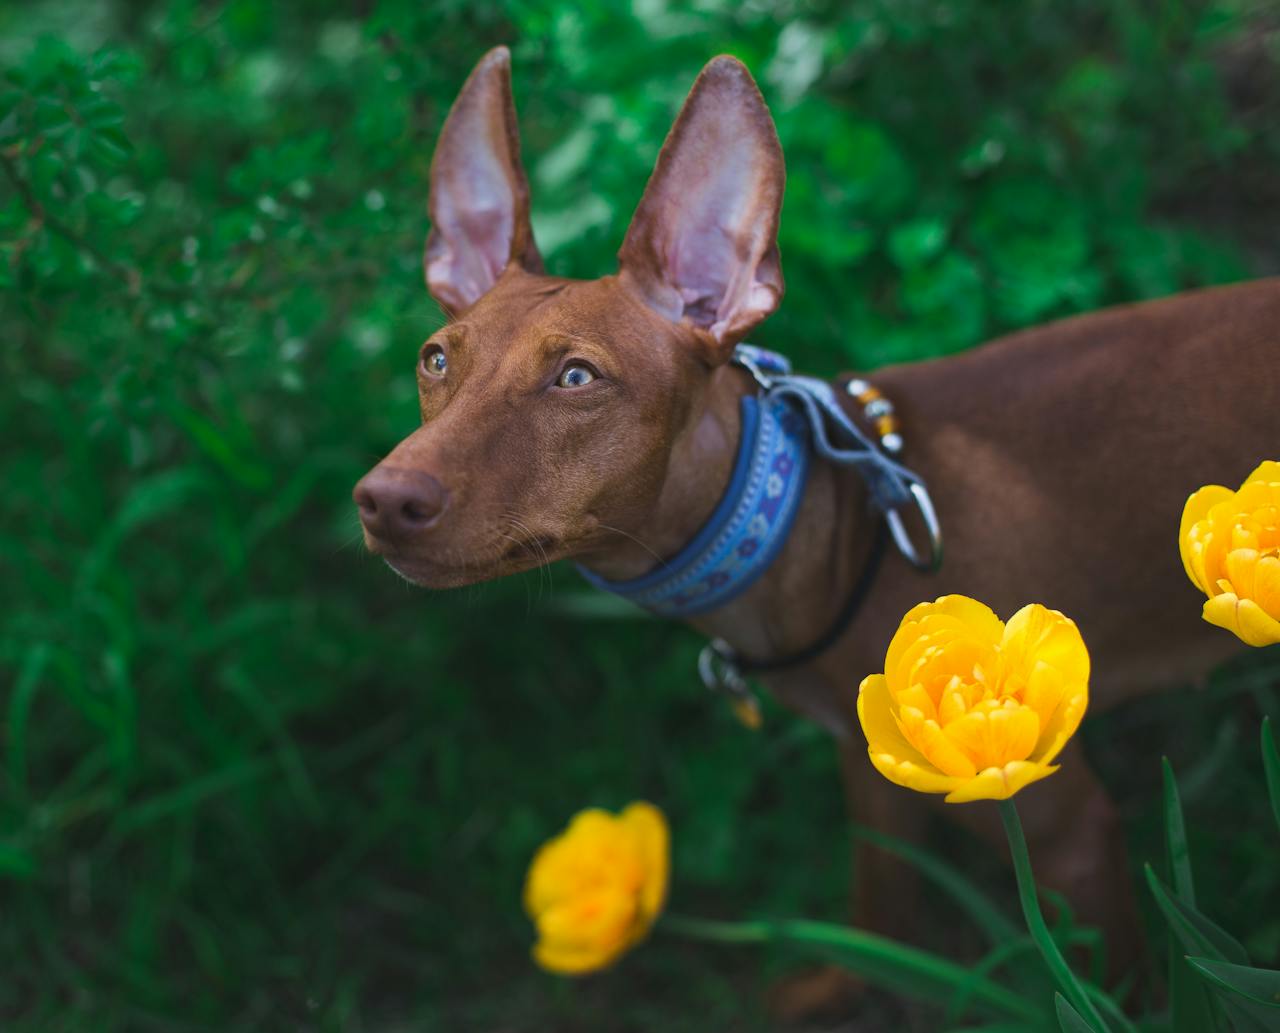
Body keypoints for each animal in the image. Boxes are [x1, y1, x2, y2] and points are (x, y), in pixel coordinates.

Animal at [353, 48, 1280, 988]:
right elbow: (881, 914)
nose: (385, 497)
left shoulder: (1068, 830)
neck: (833, 528)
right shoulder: (873, 767)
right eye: (436, 359)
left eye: (577, 377)